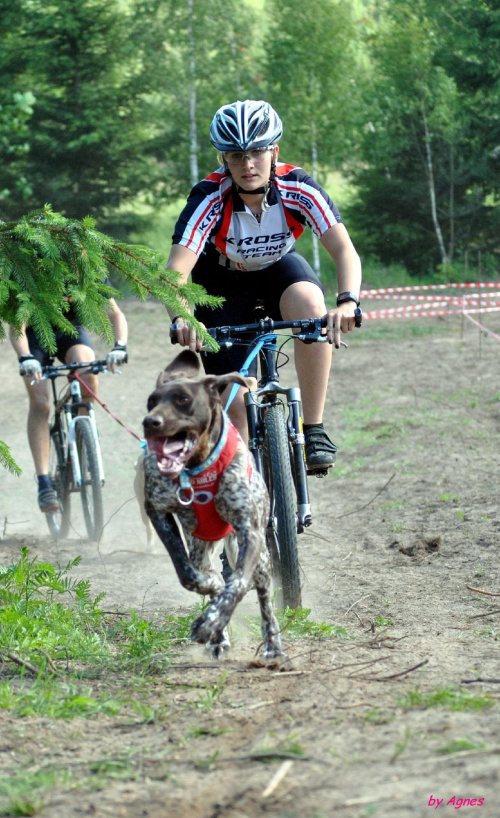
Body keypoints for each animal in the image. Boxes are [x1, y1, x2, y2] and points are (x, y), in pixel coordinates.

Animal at [139, 348, 284, 660]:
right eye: (151, 402)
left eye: (183, 400)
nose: (149, 422)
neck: (198, 467)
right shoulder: (157, 511)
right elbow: (188, 574)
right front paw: (213, 602)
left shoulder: (251, 532)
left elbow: (238, 583)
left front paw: (212, 621)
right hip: (201, 546)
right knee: (206, 571)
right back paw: (220, 637)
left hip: (261, 559)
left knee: (264, 600)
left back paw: (272, 647)